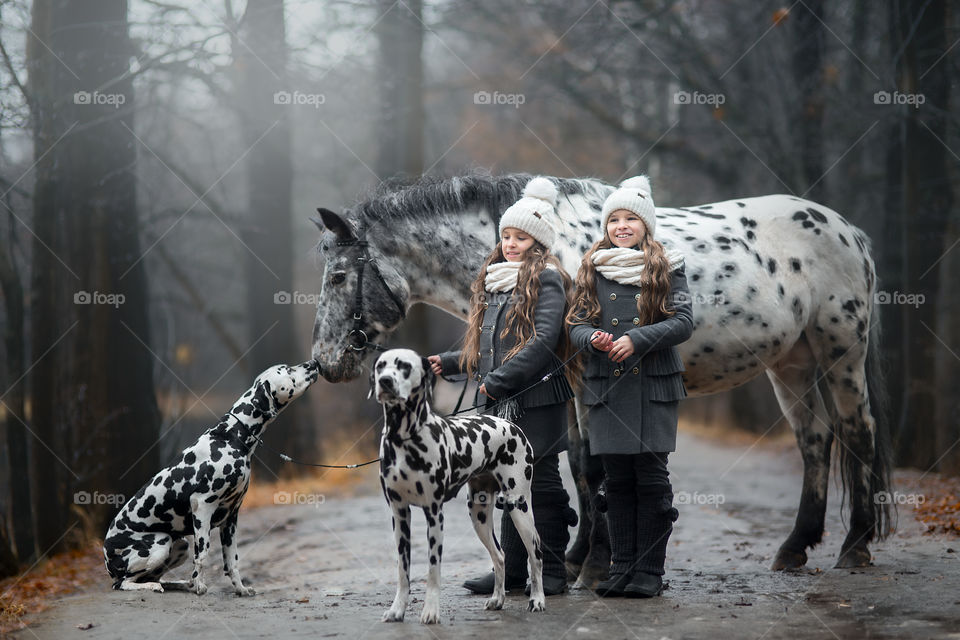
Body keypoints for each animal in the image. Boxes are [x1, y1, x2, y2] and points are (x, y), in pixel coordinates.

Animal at [102, 360, 318, 596]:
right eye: (287, 370)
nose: (313, 363)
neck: (231, 436)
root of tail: (106, 555)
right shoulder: (202, 506)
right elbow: (203, 554)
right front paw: (199, 586)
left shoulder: (231, 517)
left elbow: (232, 561)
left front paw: (240, 589)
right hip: (160, 543)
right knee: (123, 583)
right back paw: (157, 586)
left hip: (180, 546)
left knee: (152, 577)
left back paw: (177, 584)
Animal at [312, 172, 896, 584]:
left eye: (338, 277)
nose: (325, 363)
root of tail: (847, 230)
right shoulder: (564, 388)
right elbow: (576, 465)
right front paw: (573, 558)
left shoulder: (581, 380)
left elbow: (592, 467)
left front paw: (591, 566)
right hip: (791, 363)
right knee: (815, 440)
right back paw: (795, 547)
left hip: (841, 353)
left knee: (857, 432)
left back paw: (855, 547)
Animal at [372, 350, 544, 624]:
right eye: (380, 366)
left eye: (405, 366)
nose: (385, 381)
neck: (405, 438)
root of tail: (509, 424)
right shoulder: (399, 515)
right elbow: (402, 570)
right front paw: (397, 610)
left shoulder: (434, 514)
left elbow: (433, 570)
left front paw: (431, 611)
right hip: (479, 515)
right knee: (500, 556)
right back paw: (497, 599)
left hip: (520, 508)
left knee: (535, 554)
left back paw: (538, 599)